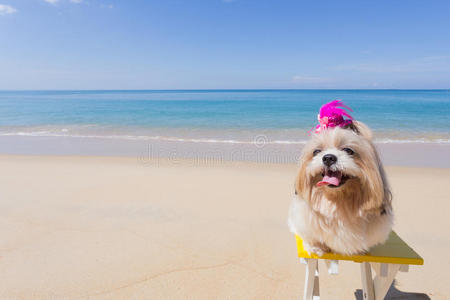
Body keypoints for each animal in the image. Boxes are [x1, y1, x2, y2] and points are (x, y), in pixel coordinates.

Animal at [290, 101, 392, 255]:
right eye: (317, 151)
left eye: (348, 150)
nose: (328, 157)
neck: (339, 201)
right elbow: (313, 239)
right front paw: (317, 248)